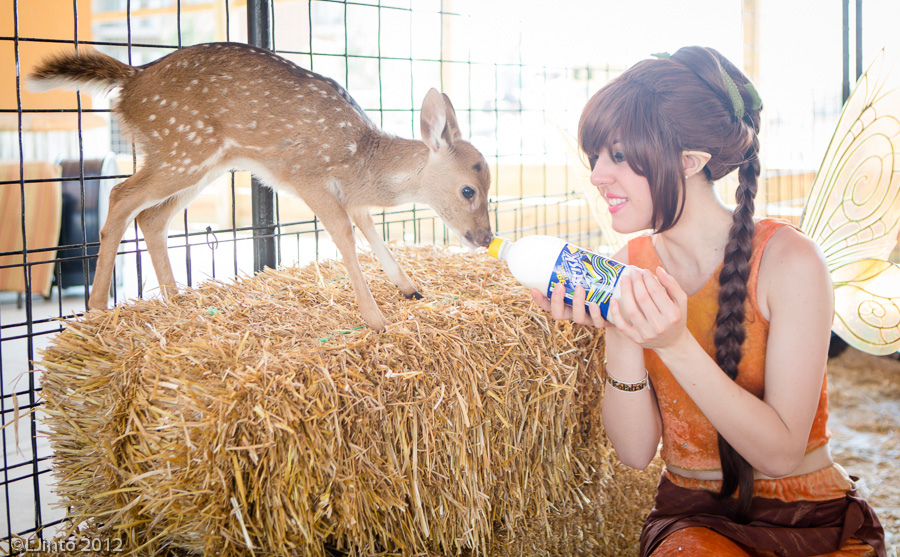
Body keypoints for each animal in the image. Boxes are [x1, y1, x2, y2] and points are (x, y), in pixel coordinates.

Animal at [29, 42, 493, 331]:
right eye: (469, 189)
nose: (485, 237)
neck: (361, 160)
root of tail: (129, 80)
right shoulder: (308, 176)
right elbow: (345, 237)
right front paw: (376, 320)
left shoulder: (352, 195)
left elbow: (373, 235)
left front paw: (410, 289)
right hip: (182, 150)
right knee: (120, 196)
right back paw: (95, 309)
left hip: (201, 162)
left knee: (152, 216)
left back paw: (177, 303)